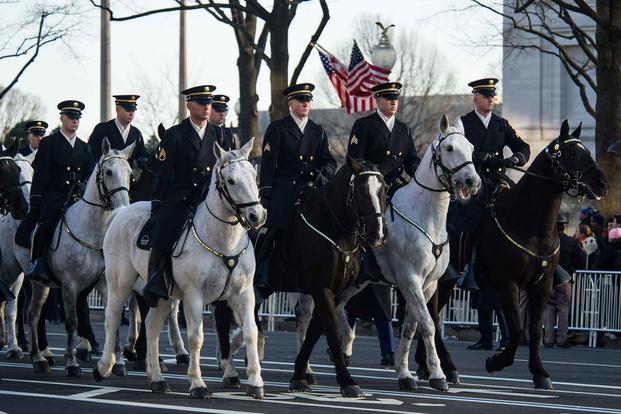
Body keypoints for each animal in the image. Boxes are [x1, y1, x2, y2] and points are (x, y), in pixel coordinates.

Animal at [15, 139, 135, 376]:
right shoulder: (70, 285)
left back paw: (39, 357)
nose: (124, 207)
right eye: (108, 171)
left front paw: (117, 363)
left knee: (33, 316)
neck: (92, 230)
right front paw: (71, 363)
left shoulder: (105, 284)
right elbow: (71, 322)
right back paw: (30, 353)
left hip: (41, 285)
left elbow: (113, 317)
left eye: (129, 173)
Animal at [95, 141, 266, 400]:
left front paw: (255, 382)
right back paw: (106, 366)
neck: (223, 241)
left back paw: (156, 378)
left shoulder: (243, 294)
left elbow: (250, 332)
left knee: (152, 325)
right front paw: (197, 383)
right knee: (112, 317)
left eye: (254, 177)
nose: (257, 215)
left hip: (163, 295)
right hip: (119, 283)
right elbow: (196, 337)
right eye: (231, 180)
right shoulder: (194, 295)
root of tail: (121, 211)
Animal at [334, 114, 480, 392]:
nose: (473, 182)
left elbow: (411, 328)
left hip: (358, 281)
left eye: (471, 148)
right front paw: (437, 374)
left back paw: (344, 345)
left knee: (337, 307)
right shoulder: (409, 280)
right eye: (449, 148)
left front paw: (404, 373)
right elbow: (428, 324)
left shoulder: (428, 285)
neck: (425, 216)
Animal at [414, 119, 608, 388]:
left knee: (428, 313)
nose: (602, 184)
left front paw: (540, 372)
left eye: (587, 151)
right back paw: (445, 367)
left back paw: (428, 365)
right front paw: (496, 362)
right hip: (443, 279)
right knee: (431, 314)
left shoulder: (542, 286)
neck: (529, 224)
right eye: (571, 152)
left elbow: (535, 330)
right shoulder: (507, 283)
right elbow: (516, 330)